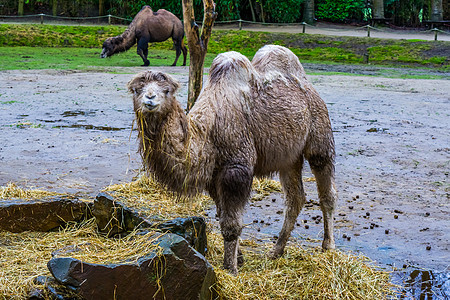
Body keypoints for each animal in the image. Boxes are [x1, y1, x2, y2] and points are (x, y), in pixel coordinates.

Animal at [128, 45, 336, 274]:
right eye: (137, 89)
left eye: (167, 91)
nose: (150, 99)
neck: (208, 132)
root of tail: (307, 84)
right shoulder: (213, 175)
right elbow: (222, 215)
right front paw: (240, 258)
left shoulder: (236, 168)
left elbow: (231, 225)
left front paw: (230, 269)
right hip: (289, 157)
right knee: (295, 198)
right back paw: (276, 251)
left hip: (319, 132)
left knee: (326, 189)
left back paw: (328, 247)